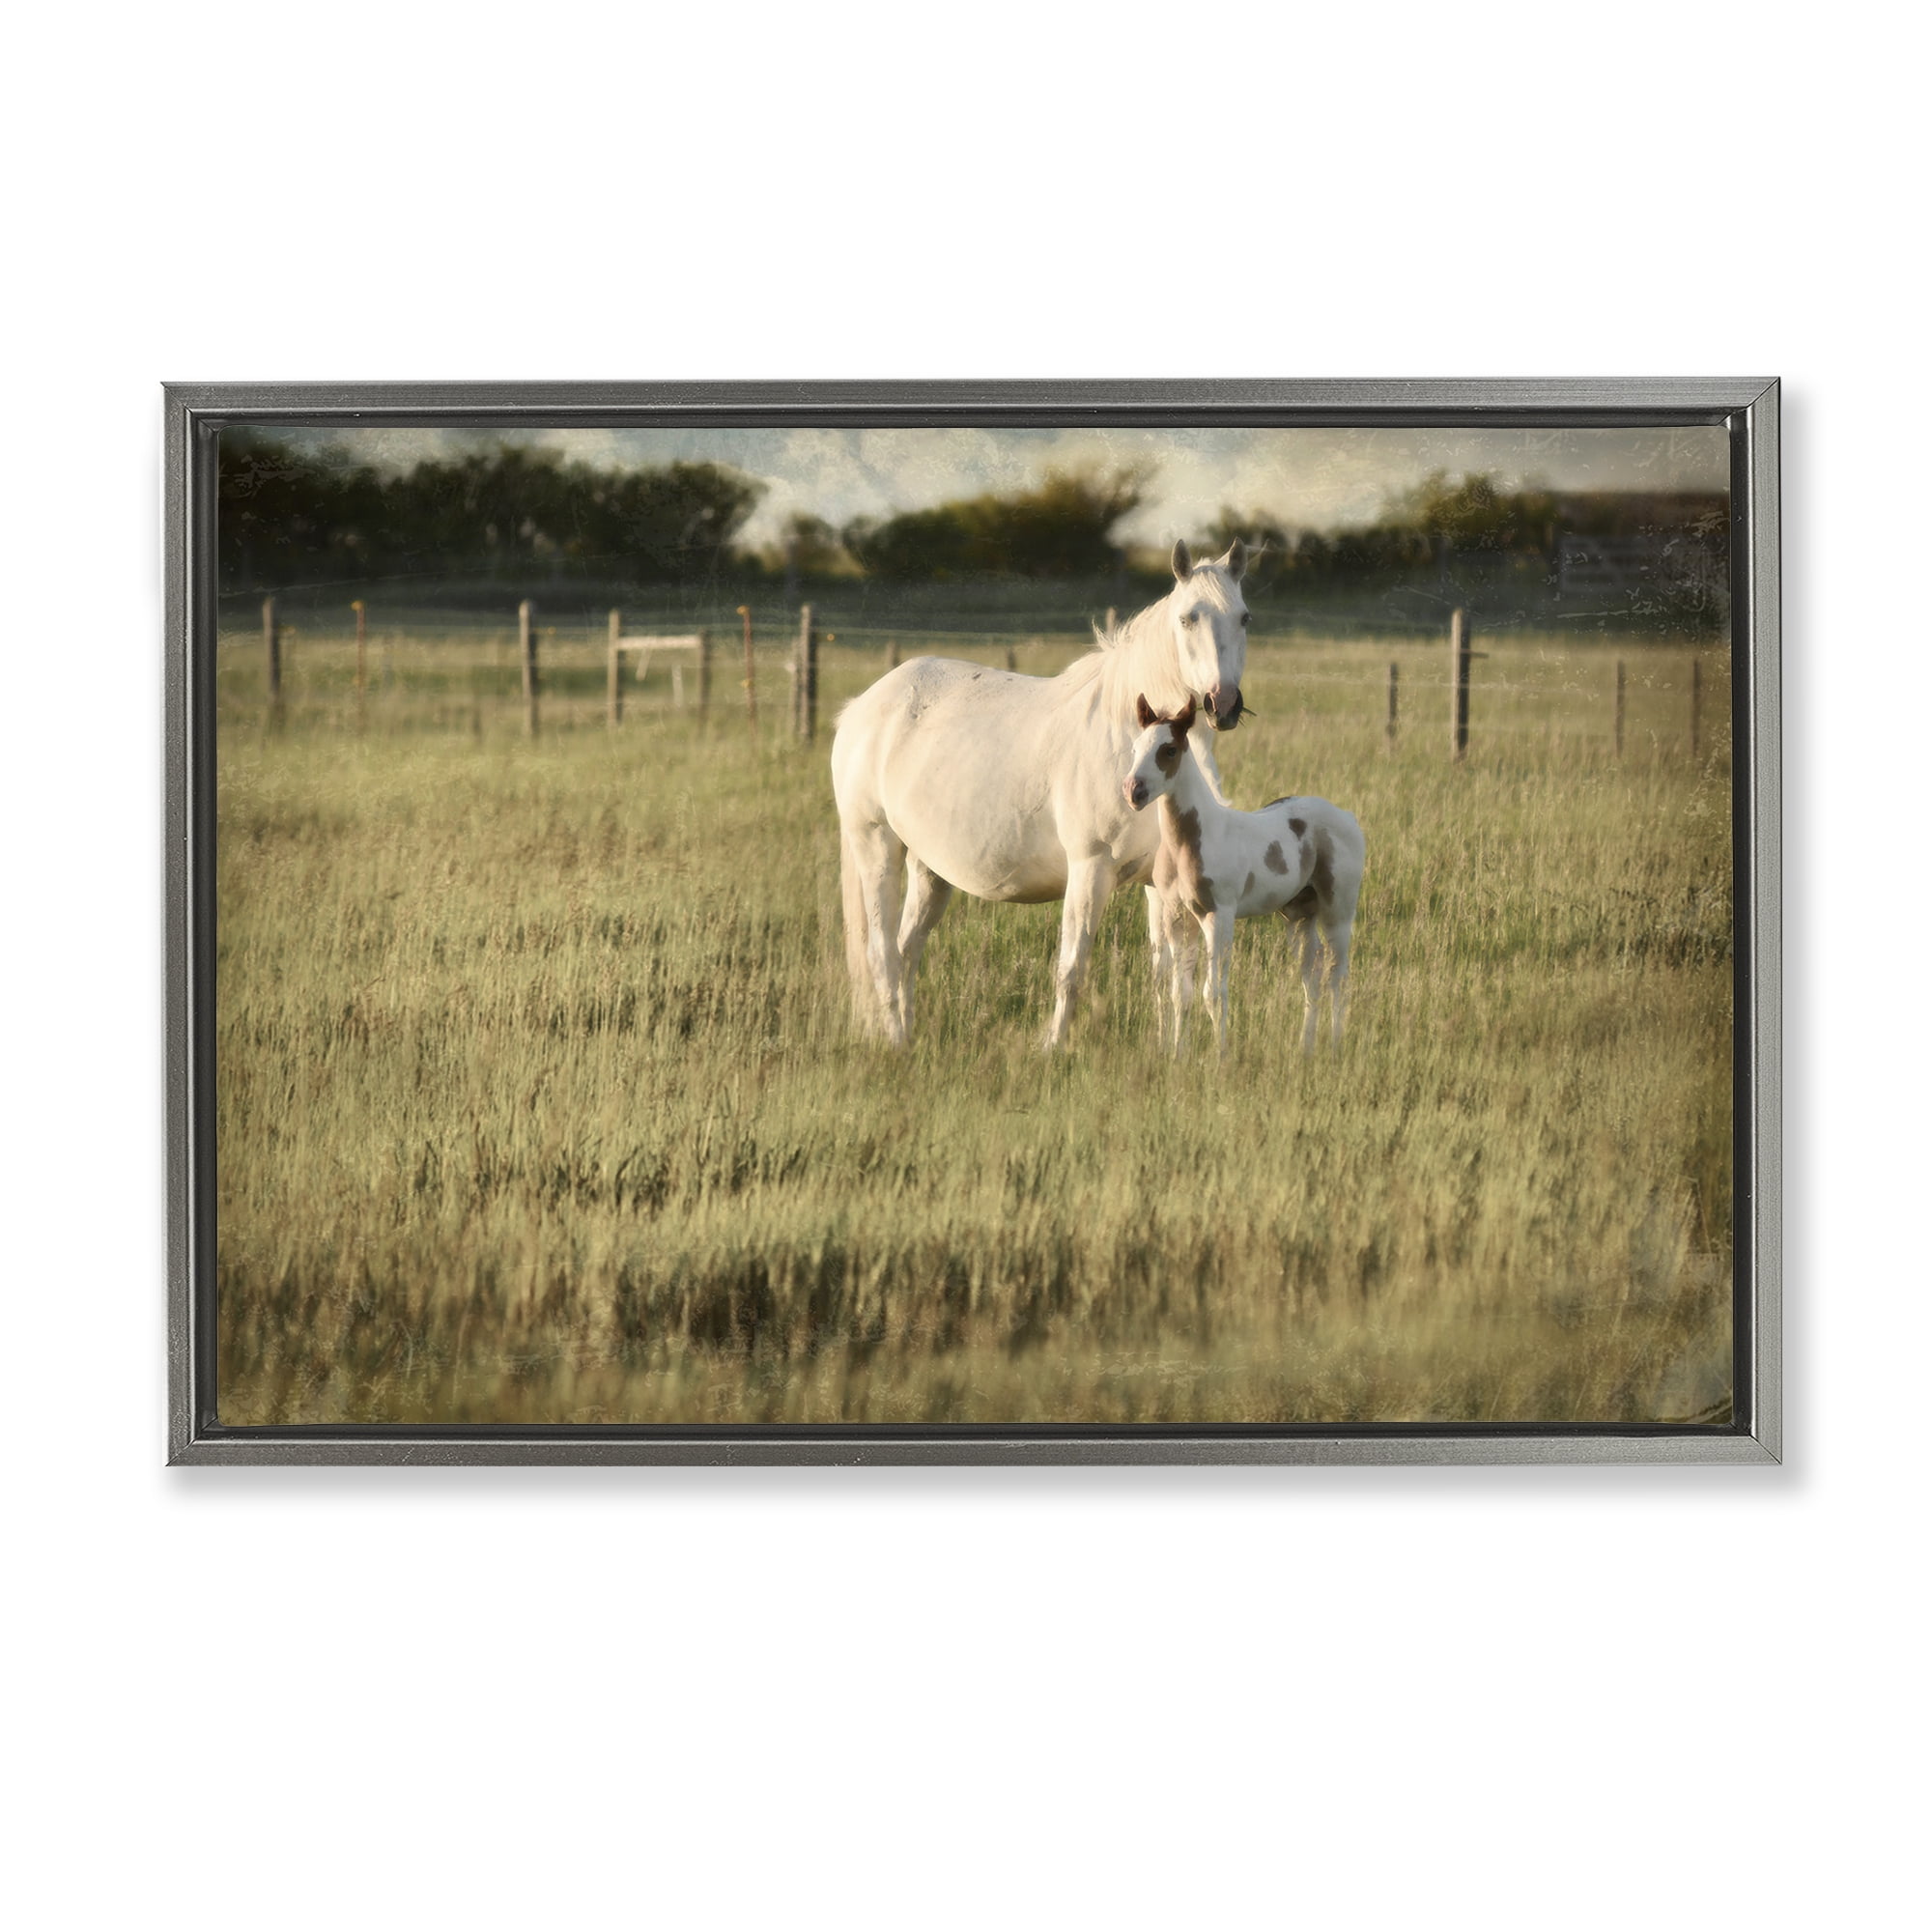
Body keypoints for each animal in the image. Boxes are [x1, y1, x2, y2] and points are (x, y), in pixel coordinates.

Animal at [831, 539, 1251, 1048]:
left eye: (1244, 617)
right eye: (1188, 618)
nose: (1222, 704)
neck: (1124, 739)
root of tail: (861, 707)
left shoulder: (1158, 882)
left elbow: (1167, 973)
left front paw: (1166, 1048)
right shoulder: (1089, 869)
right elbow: (1072, 968)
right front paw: (1052, 1047)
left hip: (929, 869)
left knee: (907, 948)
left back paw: (908, 1035)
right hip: (876, 847)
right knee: (881, 954)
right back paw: (896, 1041)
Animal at [1123, 696, 1364, 1058]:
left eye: (1169, 750)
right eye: (1136, 747)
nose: (1132, 791)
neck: (1189, 842)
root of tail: (1348, 817)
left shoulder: (1218, 915)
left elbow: (1213, 992)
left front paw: (1220, 1055)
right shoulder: (1178, 917)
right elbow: (1181, 993)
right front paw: (1179, 1054)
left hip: (1338, 911)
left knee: (1338, 974)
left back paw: (1335, 1046)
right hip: (1299, 915)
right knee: (1313, 972)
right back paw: (1305, 1047)